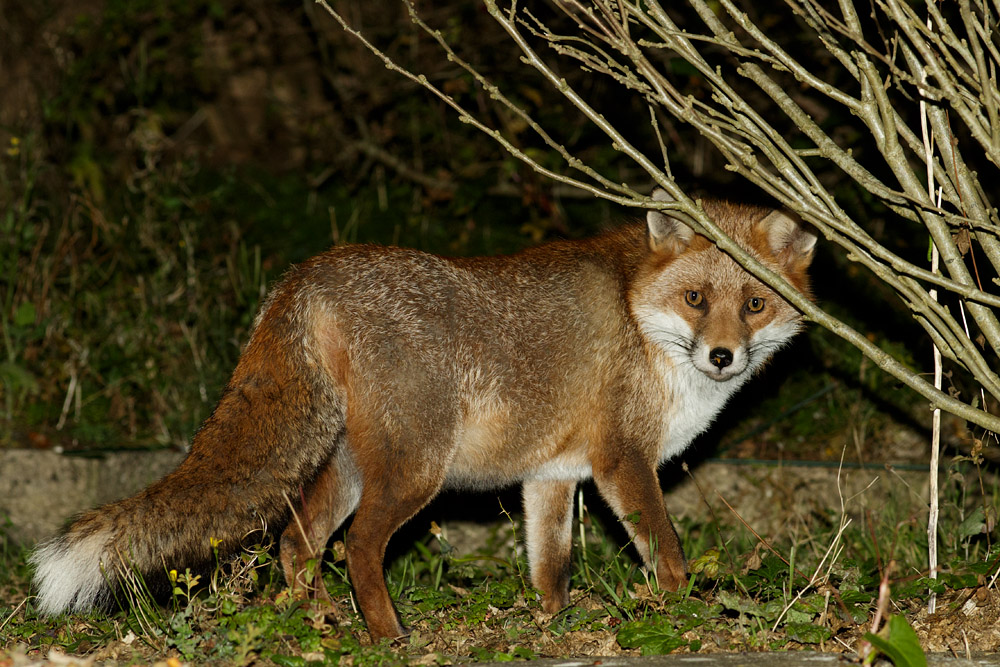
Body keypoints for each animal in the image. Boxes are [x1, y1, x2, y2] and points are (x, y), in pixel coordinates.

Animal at [31, 189, 815, 641]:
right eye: (694, 299)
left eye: (754, 304)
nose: (722, 356)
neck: (639, 319)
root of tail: (309, 273)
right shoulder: (623, 460)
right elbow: (667, 550)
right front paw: (683, 616)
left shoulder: (553, 476)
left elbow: (552, 567)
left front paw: (550, 626)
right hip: (414, 471)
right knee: (356, 547)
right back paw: (387, 635)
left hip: (352, 466)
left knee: (296, 541)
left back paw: (321, 623)